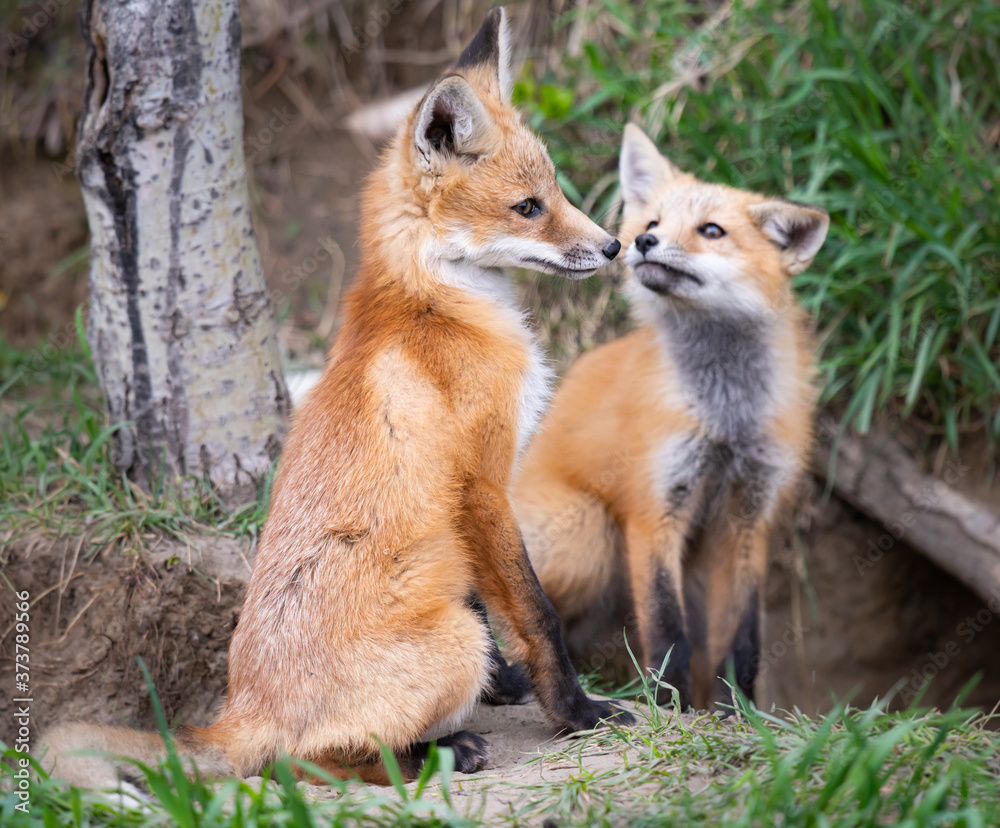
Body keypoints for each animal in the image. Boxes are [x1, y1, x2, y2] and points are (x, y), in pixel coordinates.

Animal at [39, 8, 631, 789]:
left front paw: (506, 686)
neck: (434, 303)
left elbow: (484, 597)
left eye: (558, 192)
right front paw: (574, 713)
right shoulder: (481, 483)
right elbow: (537, 614)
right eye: (528, 208)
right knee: (304, 765)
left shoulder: (456, 506)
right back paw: (440, 750)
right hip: (446, 642)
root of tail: (240, 710)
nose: (617, 245)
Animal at [512, 124, 829, 711]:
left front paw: (736, 711)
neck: (724, 418)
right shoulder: (653, 507)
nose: (641, 243)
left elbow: (743, 637)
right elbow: (665, 628)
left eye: (712, 230)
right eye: (653, 223)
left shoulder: (749, 518)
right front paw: (672, 706)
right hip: (590, 534)